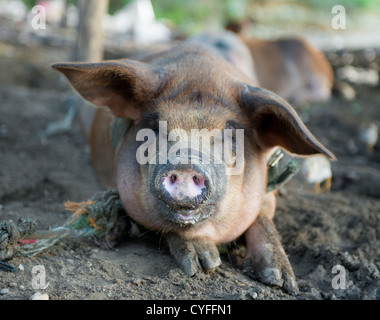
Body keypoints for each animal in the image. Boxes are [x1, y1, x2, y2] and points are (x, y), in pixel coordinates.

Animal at [52, 40, 334, 296]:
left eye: (231, 133)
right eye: (154, 127)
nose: (186, 162)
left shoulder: (268, 189)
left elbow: (263, 218)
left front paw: (281, 282)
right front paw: (203, 264)